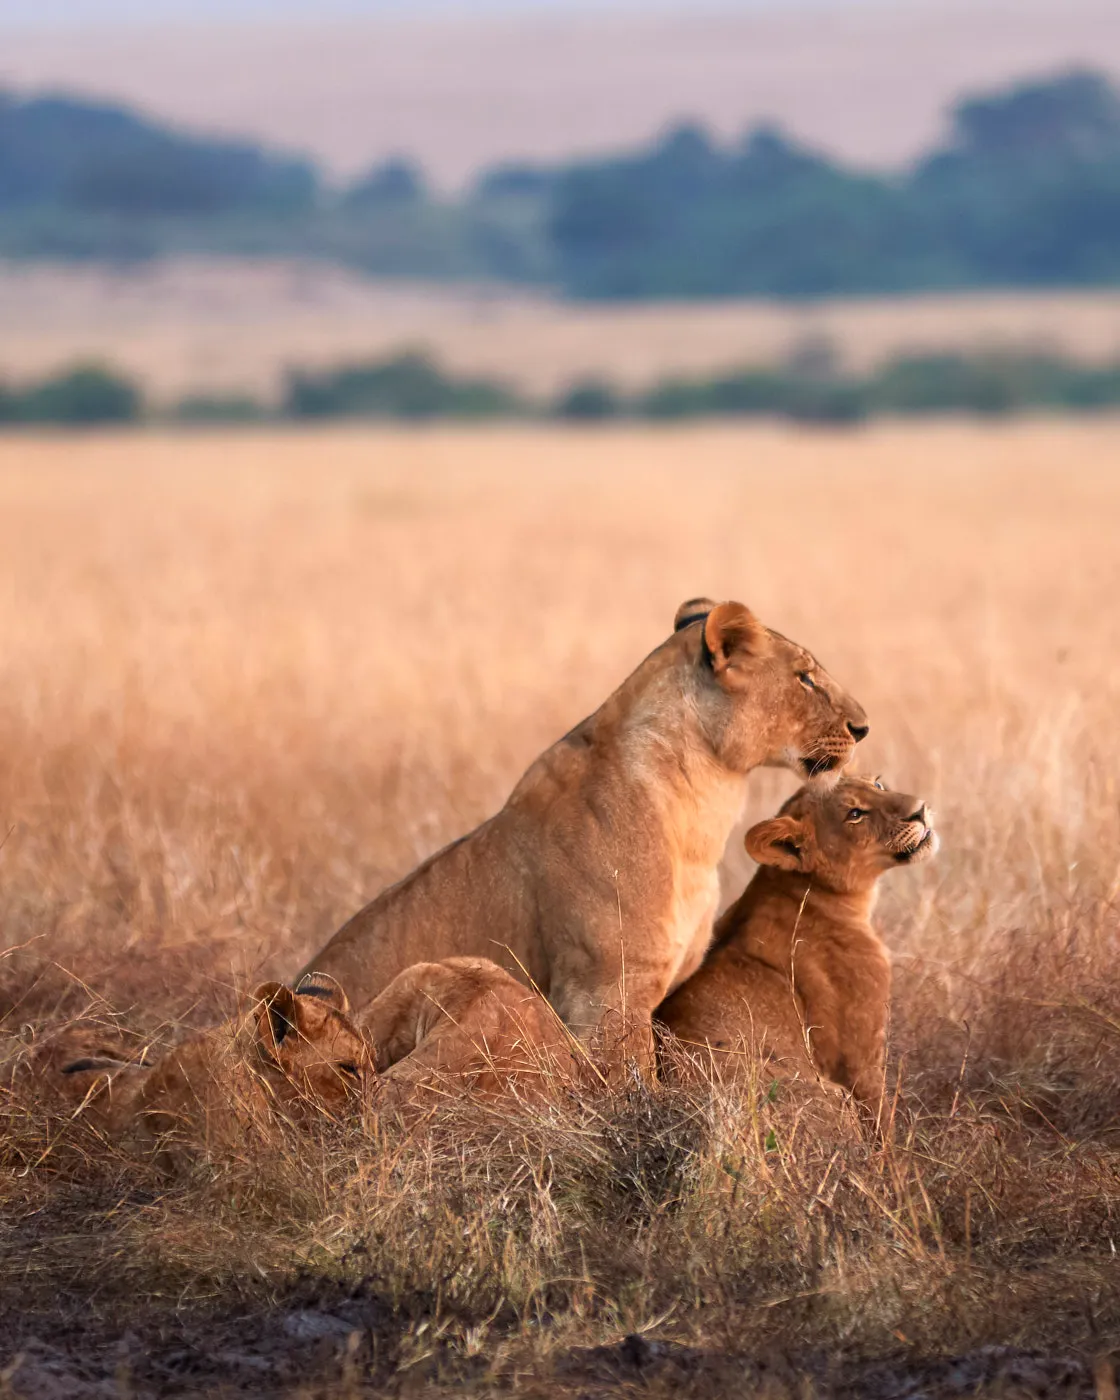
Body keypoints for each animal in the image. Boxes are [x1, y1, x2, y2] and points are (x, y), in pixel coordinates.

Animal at [656, 776, 937, 1114]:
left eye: (878, 785)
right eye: (855, 814)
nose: (921, 809)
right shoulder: (858, 1058)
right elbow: (881, 1116)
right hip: (830, 1092)